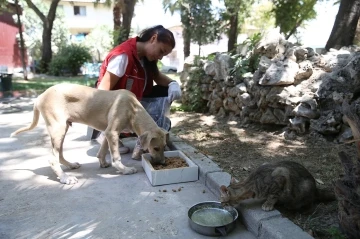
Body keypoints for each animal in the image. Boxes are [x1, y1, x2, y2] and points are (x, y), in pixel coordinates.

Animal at [10, 83, 167, 185]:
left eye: (164, 147)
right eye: (155, 148)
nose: (163, 163)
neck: (133, 109)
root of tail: (40, 96)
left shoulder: (109, 132)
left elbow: (103, 150)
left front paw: (103, 163)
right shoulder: (112, 132)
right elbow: (116, 157)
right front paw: (125, 170)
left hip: (63, 129)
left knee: (59, 155)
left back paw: (70, 165)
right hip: (58, 129)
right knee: (52, 159)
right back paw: (65, 178)